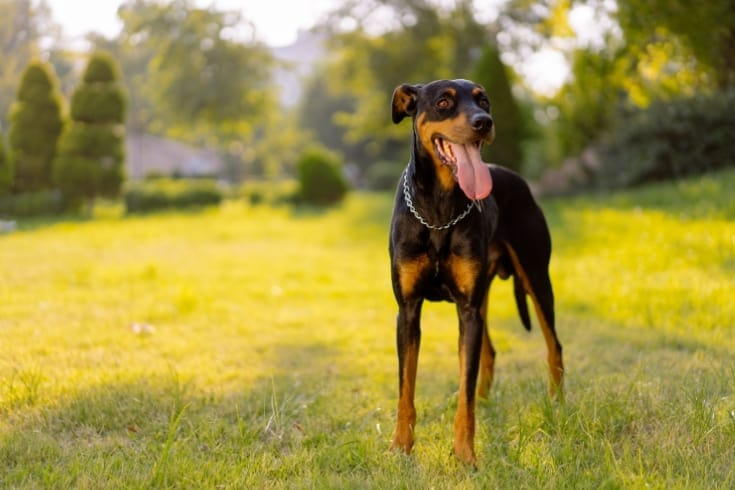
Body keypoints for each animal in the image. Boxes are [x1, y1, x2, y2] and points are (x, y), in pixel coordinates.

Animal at [388, 78, 568, 466]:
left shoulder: (467, 310)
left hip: (535, 277)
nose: (484, 122)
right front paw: (400, 447)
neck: (439, 209)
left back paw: (558, 402)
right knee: (490, 351)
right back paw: (487, 402)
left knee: (554, 346)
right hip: (483, 294)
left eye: (483, 101)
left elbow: (463, 389)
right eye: (443, 102)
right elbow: (406, 388)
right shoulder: (408, 310)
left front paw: (465, 455)